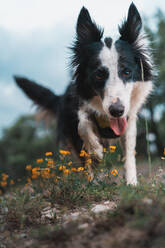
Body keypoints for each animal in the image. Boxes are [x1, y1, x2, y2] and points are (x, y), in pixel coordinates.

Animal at [14, 2, 153, 185]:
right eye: (99, 75)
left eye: (127, 72)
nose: (116, 111)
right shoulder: (76, 109)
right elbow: (83, 124)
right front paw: (95, 149)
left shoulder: (128, 118)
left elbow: (129, 150)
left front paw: (131, 182)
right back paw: (91, 180)